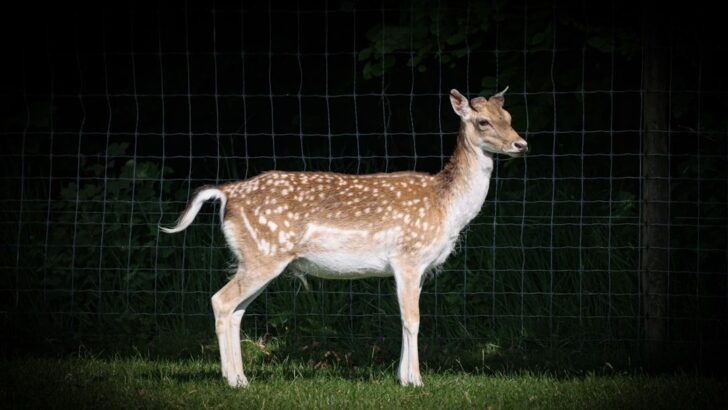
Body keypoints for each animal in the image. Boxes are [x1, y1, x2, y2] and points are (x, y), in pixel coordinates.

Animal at [160, 88, 527, 387]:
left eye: (510, 118)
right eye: (483, 121)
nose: (521, 144)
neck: (446, 206)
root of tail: (226, 194)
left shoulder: (419, 267)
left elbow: (404, 319)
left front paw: (402, 377)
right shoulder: (408, 256)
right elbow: (413, 320)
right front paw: (416, 381)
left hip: (254, 257)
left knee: (236, 310)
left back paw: (239, 378)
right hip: (262, 255)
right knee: (221, 301)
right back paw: (234, 382)